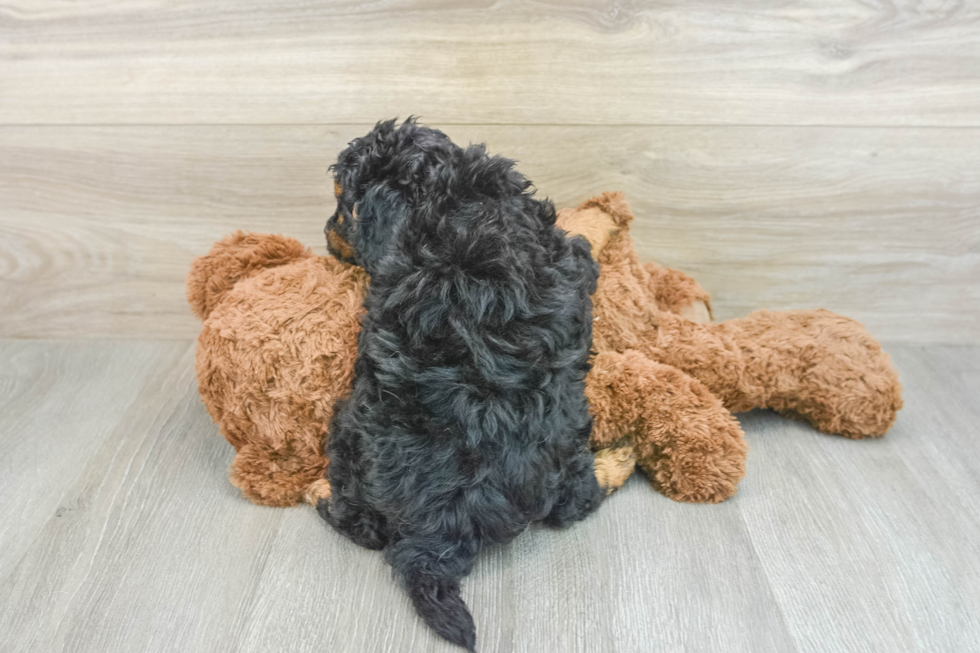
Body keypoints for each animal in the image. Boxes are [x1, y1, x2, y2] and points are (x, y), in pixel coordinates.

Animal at [318, 119, 600, 648]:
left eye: (347, 207)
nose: (325, 233)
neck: (453, 193)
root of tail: (440, 532)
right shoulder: (563, 249)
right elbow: (584, 256)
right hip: (572, 440)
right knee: (574, 501)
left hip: (348, 429)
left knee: (364, 524)